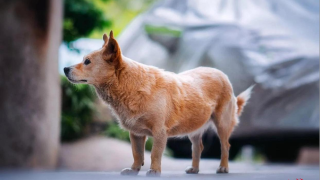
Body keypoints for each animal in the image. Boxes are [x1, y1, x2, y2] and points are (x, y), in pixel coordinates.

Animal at [64, 30, 255, 176]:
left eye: (87, 61)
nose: (65, 69)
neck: (130, 85)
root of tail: (221, 74)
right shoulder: (136, 134)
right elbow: (137, 154)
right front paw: (134, 170)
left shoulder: (159, 132)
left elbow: (154, 154)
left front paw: (154, 171)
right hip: (194, 128)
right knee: (197, 147)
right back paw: (194, 168)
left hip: (222, 124)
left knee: (225, 146)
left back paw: (223, 167)